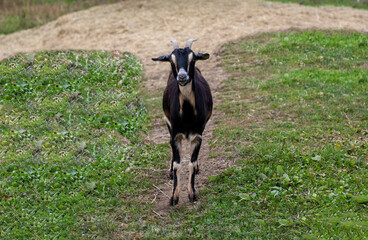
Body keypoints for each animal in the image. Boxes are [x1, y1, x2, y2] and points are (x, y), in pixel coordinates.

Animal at [151, 38, 211, 205]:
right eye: (171, 60)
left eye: (193, 58)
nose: (182, 77)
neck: (187, 116)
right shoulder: (176, 134)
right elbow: (178, 164)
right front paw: (174, 197)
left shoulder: (198, 135)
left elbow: (192, 163)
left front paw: (192, 194)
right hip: (168, 125)